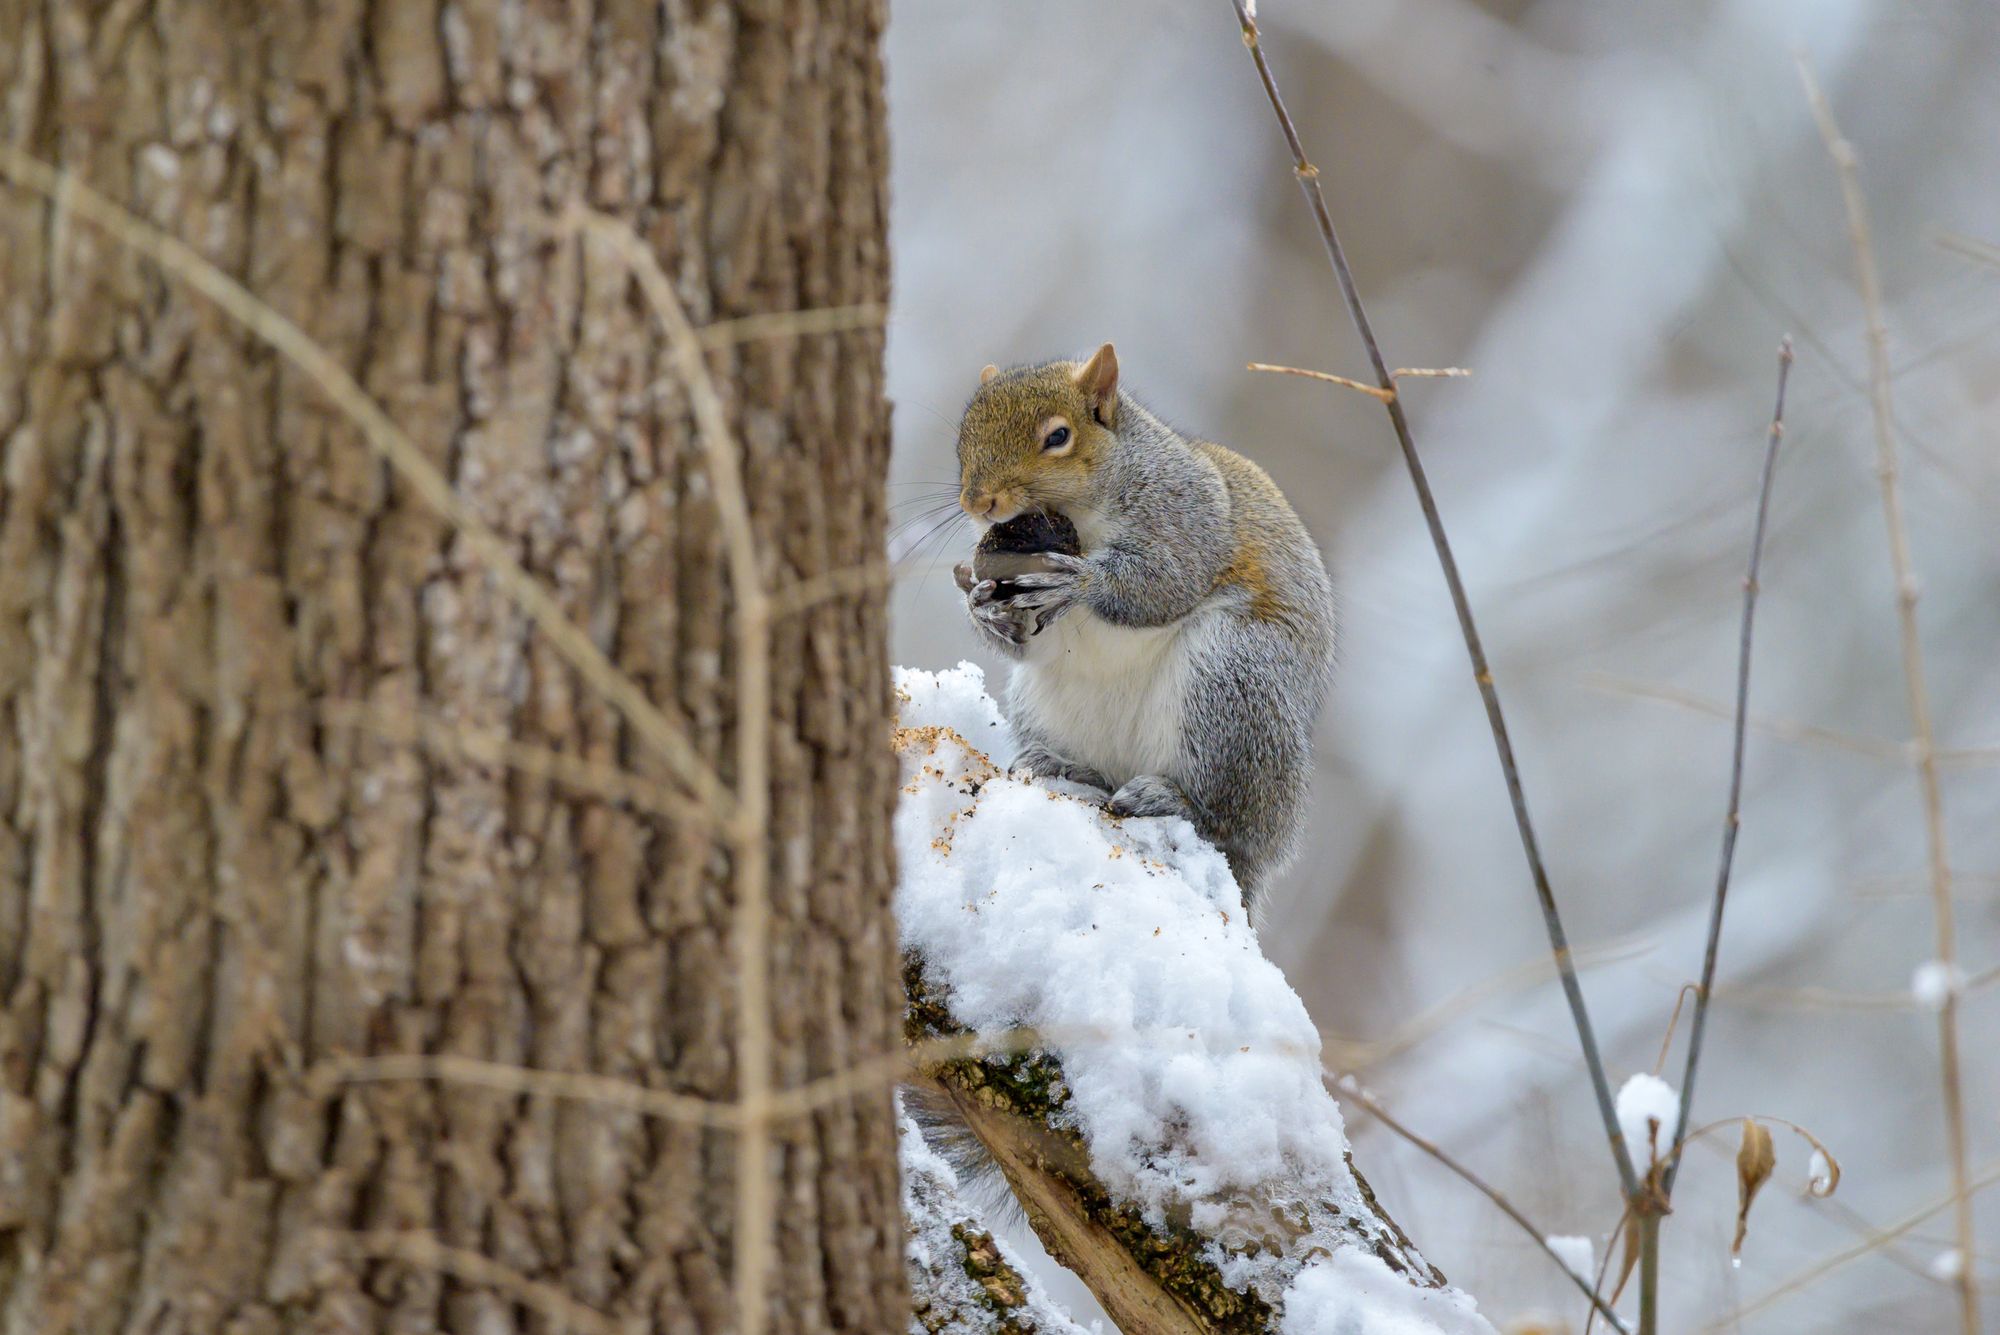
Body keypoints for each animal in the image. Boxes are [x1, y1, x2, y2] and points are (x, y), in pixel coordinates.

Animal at [948, 341, 1336, 919]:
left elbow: (1165, 581)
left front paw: (1080, 581)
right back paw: (1065, 766)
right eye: (963, 437)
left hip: (1231, 678)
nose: (978, 503)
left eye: (1058, 436)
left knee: (1222, 821)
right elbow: (1026, 640)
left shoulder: (1186, 518)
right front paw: (981, 606)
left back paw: (1171, 799)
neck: (1079, 517)